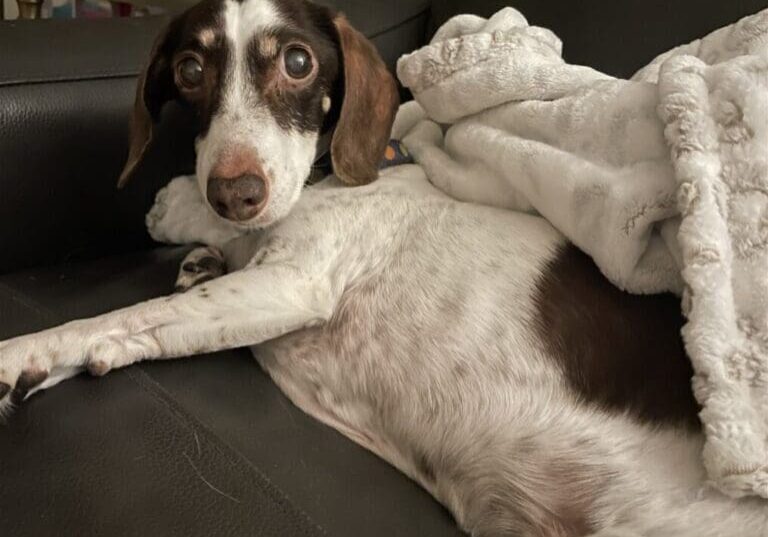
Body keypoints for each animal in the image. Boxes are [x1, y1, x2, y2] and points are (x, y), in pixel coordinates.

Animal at [1, 1, 768, 536]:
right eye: (190, 72)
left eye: (299, 63)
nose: (234, 191)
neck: (321, 183)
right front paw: (187, 228)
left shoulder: (290, 285)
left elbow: (128, 316)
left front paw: (22, 354)